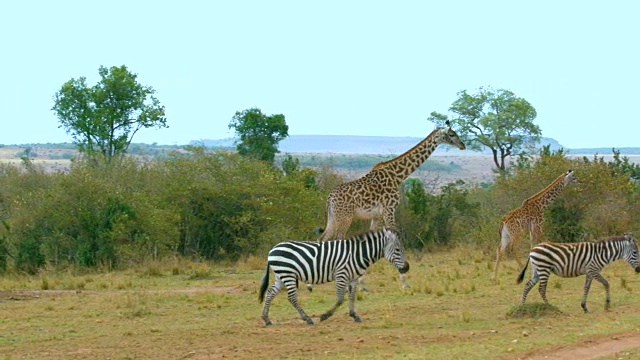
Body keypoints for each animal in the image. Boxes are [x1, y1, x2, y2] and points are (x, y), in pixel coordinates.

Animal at [258, 228, 410, 326]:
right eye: (398, 250)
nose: (407, 268)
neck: (357, 254)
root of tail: (272, 249)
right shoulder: (341, 275)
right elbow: (340, 299)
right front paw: (325, 316)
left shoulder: (353, 278)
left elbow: (352, 297)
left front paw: (354, 315)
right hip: (287, 274)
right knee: (292, 297)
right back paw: (307, 319)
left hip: (281, 275)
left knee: (270, 293)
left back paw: (266, 319)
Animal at [314, 122, 464, 292]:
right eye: (452, 134)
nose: (463, 145)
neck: (398, 176)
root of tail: (329, 198)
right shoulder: (389, 210)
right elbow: (396, 238)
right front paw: (404, 281)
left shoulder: (377, 215)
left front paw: (362, 284)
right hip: (345, 217)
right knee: (337, 240)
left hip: (333, 217)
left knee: (322, 239)